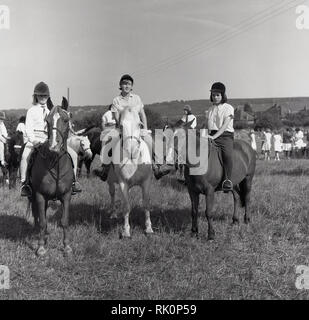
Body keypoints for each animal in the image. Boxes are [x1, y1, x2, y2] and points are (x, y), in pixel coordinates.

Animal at [29, 96, 74, 256]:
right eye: (47, 121)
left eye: (66, 120)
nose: (54, 146)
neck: (55, 164)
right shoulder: (40, 195)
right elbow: (42, 221)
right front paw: (41, 247)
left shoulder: (66, 195)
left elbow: (65, 221)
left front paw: (67, 247)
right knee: (37, 215)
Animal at [101, 107, 153, 238]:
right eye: (121, 126)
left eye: (140, 125)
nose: (131, 150)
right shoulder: (123, 183)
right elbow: (126, 206)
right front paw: (126, 231)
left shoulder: (146, 182)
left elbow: (146, 204)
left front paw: (148, 228)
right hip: (110, 182)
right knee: (112, 194)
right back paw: (113, 214)